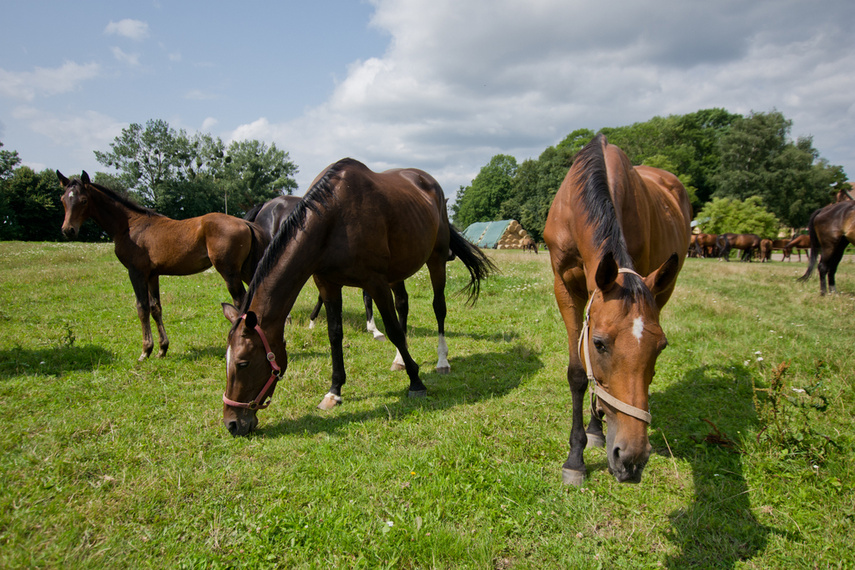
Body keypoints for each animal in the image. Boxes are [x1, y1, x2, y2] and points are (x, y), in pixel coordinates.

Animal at [57, 171, 268, 362]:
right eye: (63, 200)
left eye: (84, 200)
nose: (68, 230)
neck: (130, 225)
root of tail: (245, 223)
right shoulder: (152, 275)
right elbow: (155, 307)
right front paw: (162, 349)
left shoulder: (136, 272)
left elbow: (142, 308)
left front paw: (145, 351)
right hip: (245, 269)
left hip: (229, 272)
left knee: (241, 301)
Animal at [222, 158, 494, 432]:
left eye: (243, 362)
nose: (232, 423)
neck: (334, 219)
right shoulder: (328, 285)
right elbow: (335, 334)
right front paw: (334, 391)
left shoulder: (375, 282)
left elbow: (393, 330)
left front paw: (416, 382)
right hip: (397, 271)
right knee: (403, 304)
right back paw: (400, 360)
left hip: (436, 259)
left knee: (439, 307)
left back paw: (442, 361)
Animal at [544, 134, 692, 484]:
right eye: (599, 344)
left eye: (661, 347)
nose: (631, 458)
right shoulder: (563, 284)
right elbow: (578, 373)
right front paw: (575, 458)